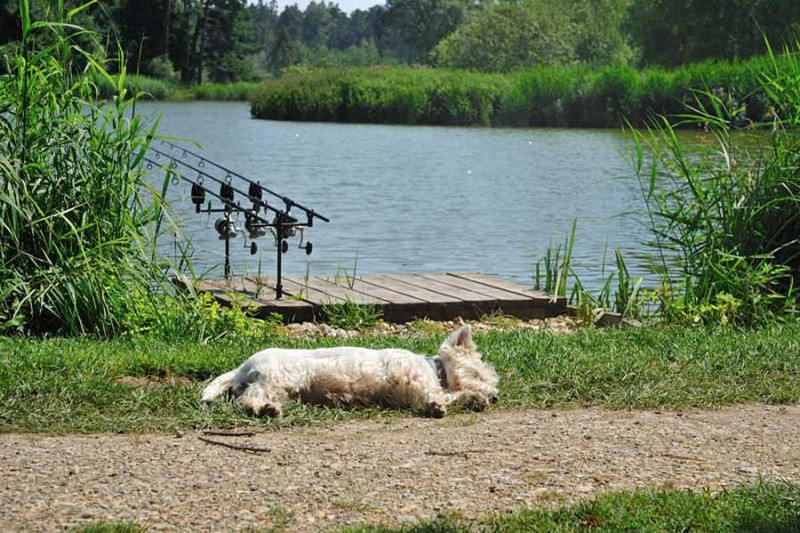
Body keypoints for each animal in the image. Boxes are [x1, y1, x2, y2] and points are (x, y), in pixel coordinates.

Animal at [200, 322, 500, 418]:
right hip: (276, 378)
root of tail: (243, 366)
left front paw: (477, 399)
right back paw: (262, 410)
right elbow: (438, 395)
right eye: (477, 374)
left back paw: (270, 408)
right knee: (247, 398)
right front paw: (445, 403)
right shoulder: (410, 379)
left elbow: (451, 395)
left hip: (281, 388)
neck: (433, 368)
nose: (497, 396)